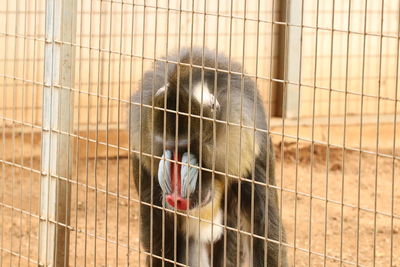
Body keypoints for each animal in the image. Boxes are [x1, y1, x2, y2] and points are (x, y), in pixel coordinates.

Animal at [129, 48, 288, 267]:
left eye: (189, 149)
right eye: (168, 149)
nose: (176, 197)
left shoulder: (252, 148)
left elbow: (263, 227)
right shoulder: (143, 155)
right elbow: (159, 234)